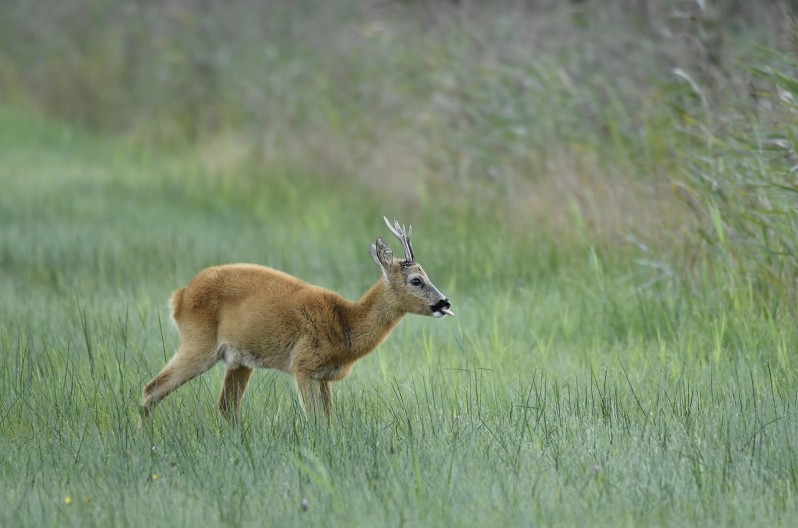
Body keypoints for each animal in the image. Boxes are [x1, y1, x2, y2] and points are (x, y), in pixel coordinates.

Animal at [141, 217, 454, 422]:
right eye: (416, 280)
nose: (445, 303)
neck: (346, 324)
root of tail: (180, 296)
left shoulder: (323, 375)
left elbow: (328, 420)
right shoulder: (302, 364)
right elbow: (313, 420)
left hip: (239, 360)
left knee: (226, 407)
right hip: (199, 342)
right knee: (151, 389)